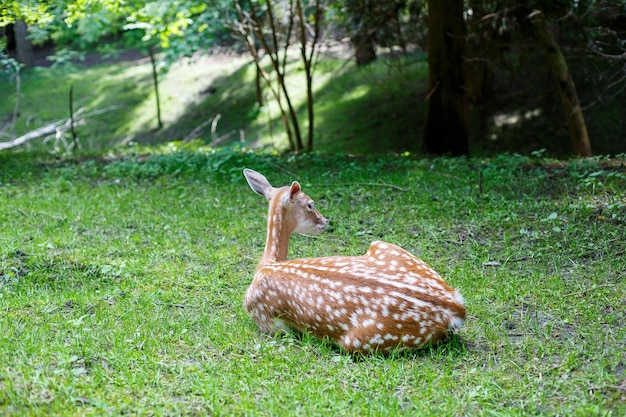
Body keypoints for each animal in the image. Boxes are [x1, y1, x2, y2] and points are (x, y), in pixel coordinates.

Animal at [243, 167, 464, 352]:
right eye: (310, 204)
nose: (326, 221)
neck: (266, 265)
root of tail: (456, 308)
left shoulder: (267, 321)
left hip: (358, 340)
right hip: (385, 246)